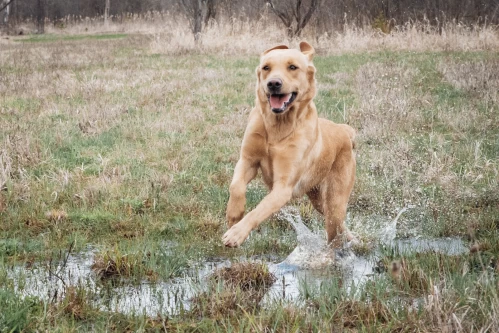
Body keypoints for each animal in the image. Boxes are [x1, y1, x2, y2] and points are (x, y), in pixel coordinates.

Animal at [223, 41, 356, 248]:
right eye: (266, 68)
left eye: (292, 67)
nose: (273, 83)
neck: (278, 127)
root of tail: (344, 130)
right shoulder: (247, 161)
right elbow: (235, 186)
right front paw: (234, 215)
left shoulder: (283, 187)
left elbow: (260, 210)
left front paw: (237, 233)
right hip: (318, 198)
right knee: (337, 223)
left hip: (336, 198)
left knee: (334, 227)